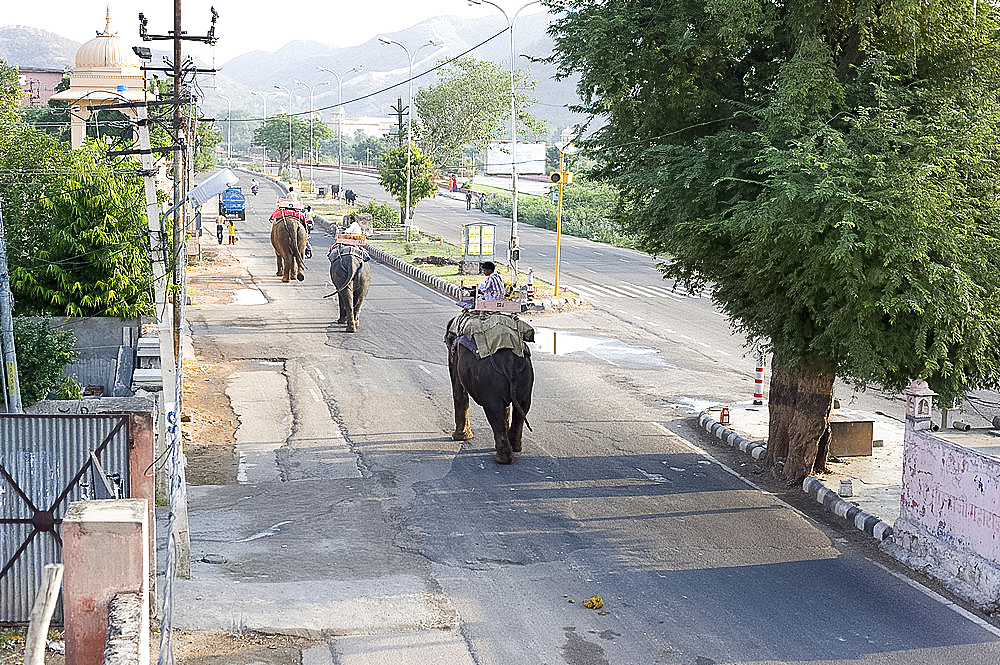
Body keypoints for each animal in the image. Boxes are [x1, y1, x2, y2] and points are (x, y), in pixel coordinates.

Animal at [446, 314, 536, 464]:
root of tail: (509, 364)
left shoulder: (457, 358)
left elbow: (459, 392)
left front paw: (459, 437)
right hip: (526, 378)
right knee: (522, 408)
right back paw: (515, 448)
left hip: (490, 385)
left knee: (494, 411)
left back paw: (502, 459)